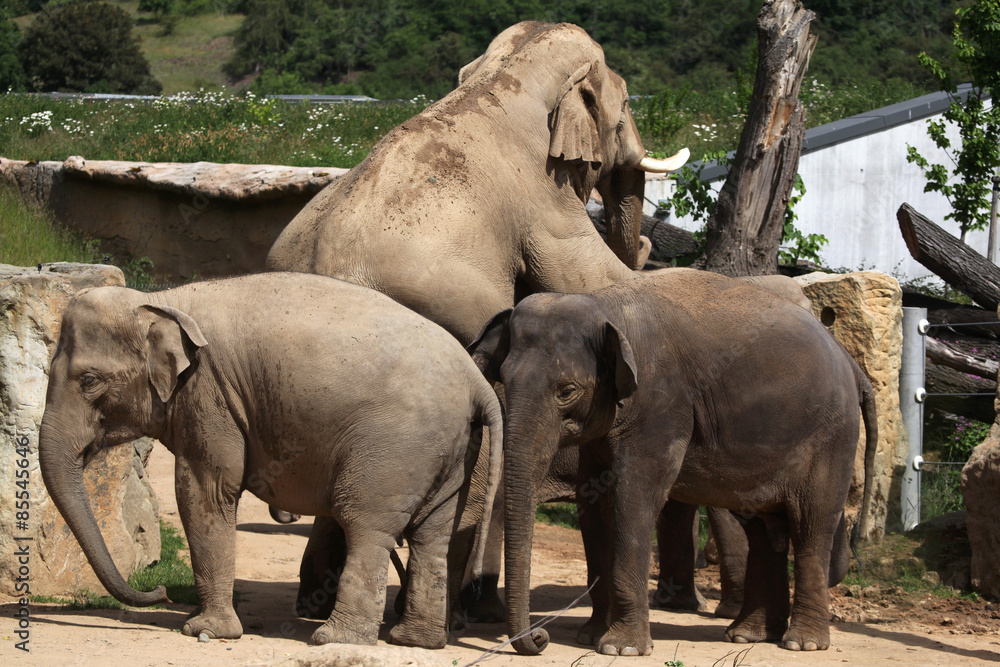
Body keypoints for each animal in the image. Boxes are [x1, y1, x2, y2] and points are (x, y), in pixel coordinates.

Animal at [38, 272, 502, 649]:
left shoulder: (210, 396)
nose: (161, 593)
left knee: (366, 524)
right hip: (452, 451)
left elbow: (204, 492)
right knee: (432, 534)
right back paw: (415, 641)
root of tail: (477, 382)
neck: (160, 301)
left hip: (397, 446)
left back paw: (335, 639)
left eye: (89, 381)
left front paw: (205, 632)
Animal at [468, 268, 877, 656]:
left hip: (832, 436)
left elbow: (634, 496)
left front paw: (620, 648)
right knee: (762, 529)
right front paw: (590, 636)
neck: (605, 305)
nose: (540, 637)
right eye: (503, 380)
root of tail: (853, 367)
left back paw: (801, 643)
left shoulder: (662, 405)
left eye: (567, 391)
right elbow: (593, 501)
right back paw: (748, 635)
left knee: (811, 523)